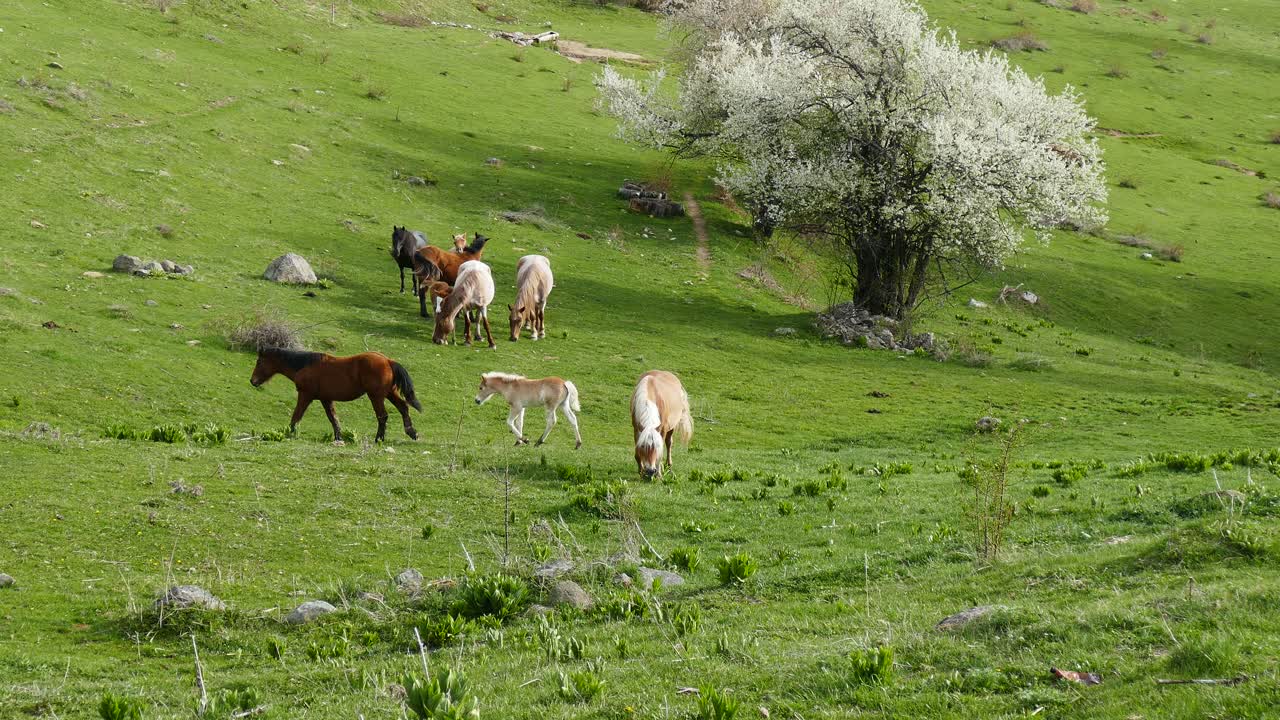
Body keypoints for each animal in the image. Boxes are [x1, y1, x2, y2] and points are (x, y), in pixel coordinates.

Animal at [249, 347, 422, 443]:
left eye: (259, 362)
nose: (252, 381)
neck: (305, 366)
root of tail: (387, 360)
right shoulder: (326, 399)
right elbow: (333, 418)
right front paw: (339, 437)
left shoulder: (305, 395)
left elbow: (297, 415)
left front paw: (289, 432)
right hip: (389, 393)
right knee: (403, 407)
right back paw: (412, 432)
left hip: (376, 396)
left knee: (383, 416)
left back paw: (379, 438)